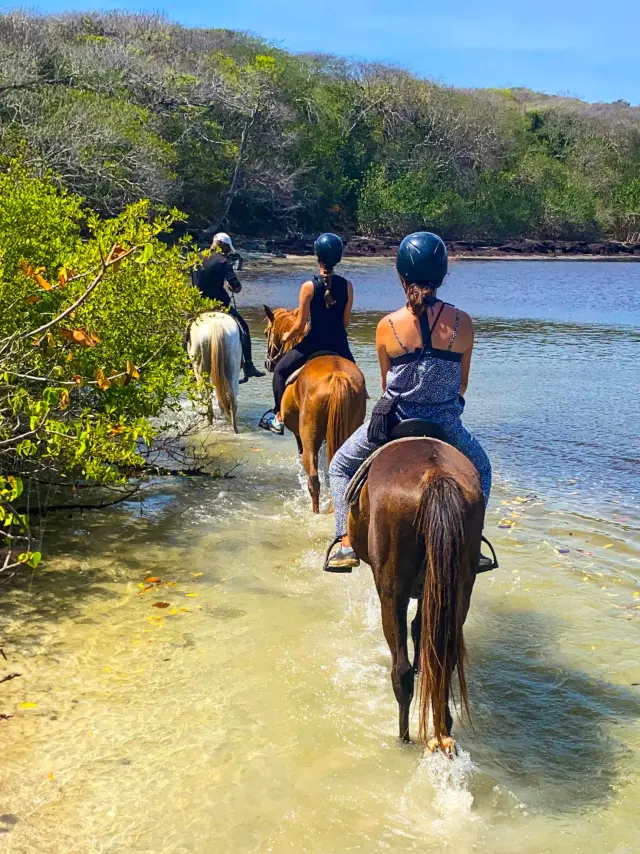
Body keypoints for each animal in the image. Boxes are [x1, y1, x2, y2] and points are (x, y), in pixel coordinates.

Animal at [263, 305, 367, 513]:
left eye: (266, 333)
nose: (268, 363)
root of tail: (337, 376)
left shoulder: (299, 435)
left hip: (308, 433)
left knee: (313, 478)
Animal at [347, 436, 484, 753]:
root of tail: (435, 478)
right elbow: (423, 631)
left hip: (391, 592)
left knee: (401, 671)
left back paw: (404, 738)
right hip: (459, 588)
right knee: (444, 660)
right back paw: (443, 730)